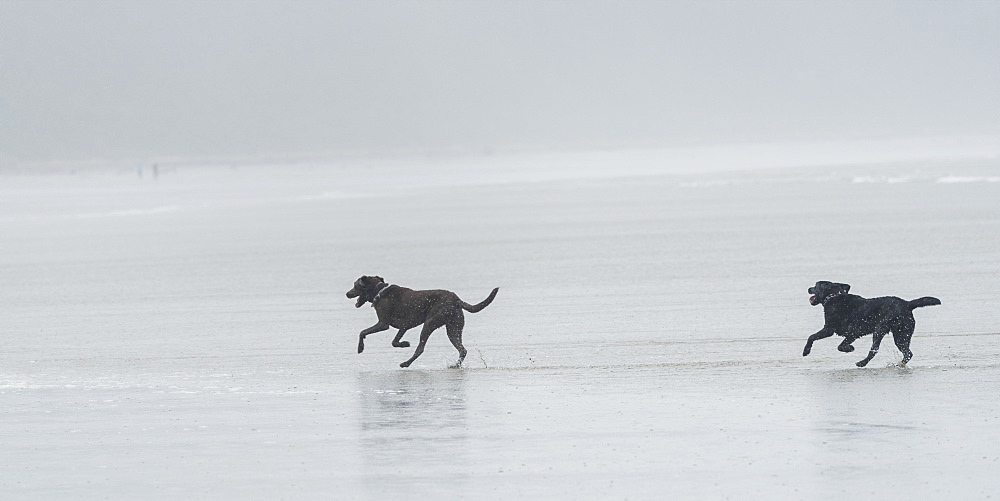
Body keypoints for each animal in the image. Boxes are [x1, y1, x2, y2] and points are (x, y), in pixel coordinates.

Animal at [346, 274, 498, 368]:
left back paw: (405, 363)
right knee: (462, 349)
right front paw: (404, 344)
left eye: (355, 285)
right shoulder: (405, 326)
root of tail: (457, 300)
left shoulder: (383, 324)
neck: (379, 291)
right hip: (454, 328)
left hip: (430, 323)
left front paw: (360, 348)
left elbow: (362, 332)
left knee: (421, 348)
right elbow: (394, 341)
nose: (347, 293)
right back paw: (455, 365)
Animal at [800, 282, 940, 368]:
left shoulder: (835, 330)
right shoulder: (842, 332)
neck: (833, 296)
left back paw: (862, 363)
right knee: (908, 353)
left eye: (816, 285)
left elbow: (815, 337)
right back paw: (899, 364)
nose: (808, 288)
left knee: (874, 350)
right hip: (901, 335)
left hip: (880, 330)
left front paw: (806, 351)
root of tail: (907, 304)